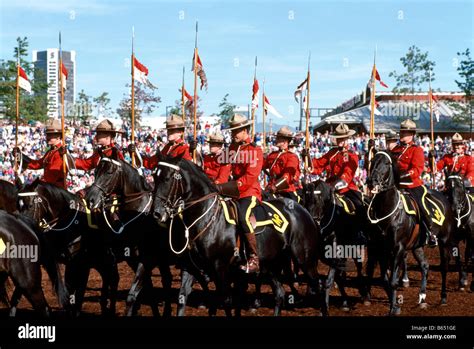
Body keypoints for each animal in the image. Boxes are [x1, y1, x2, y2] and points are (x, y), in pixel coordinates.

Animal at [152, 154, 322, 316]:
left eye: (167, 178)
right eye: (154, 177)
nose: (156, 213)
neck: (205, 219)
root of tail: (303, 210)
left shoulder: (220, 268)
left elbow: (227, 300)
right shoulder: (190, 267)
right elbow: (183, 297)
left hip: (304, 260)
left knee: (318, 286)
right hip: (271, 264)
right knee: (280, 294)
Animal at [364, 150, 458, 312]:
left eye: (387, 163)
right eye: (372, 161)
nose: (371, 181)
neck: (388, 210)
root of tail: (444, 198)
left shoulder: (398, 248)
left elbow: (393, 280)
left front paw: (393, 308)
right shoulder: (380, 247)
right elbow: (384, 278)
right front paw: (394, 302)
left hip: (444, 242)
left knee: (444, 268)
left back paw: (443, 297)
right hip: (417, 246)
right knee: (425, 266)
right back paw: (422, 297)